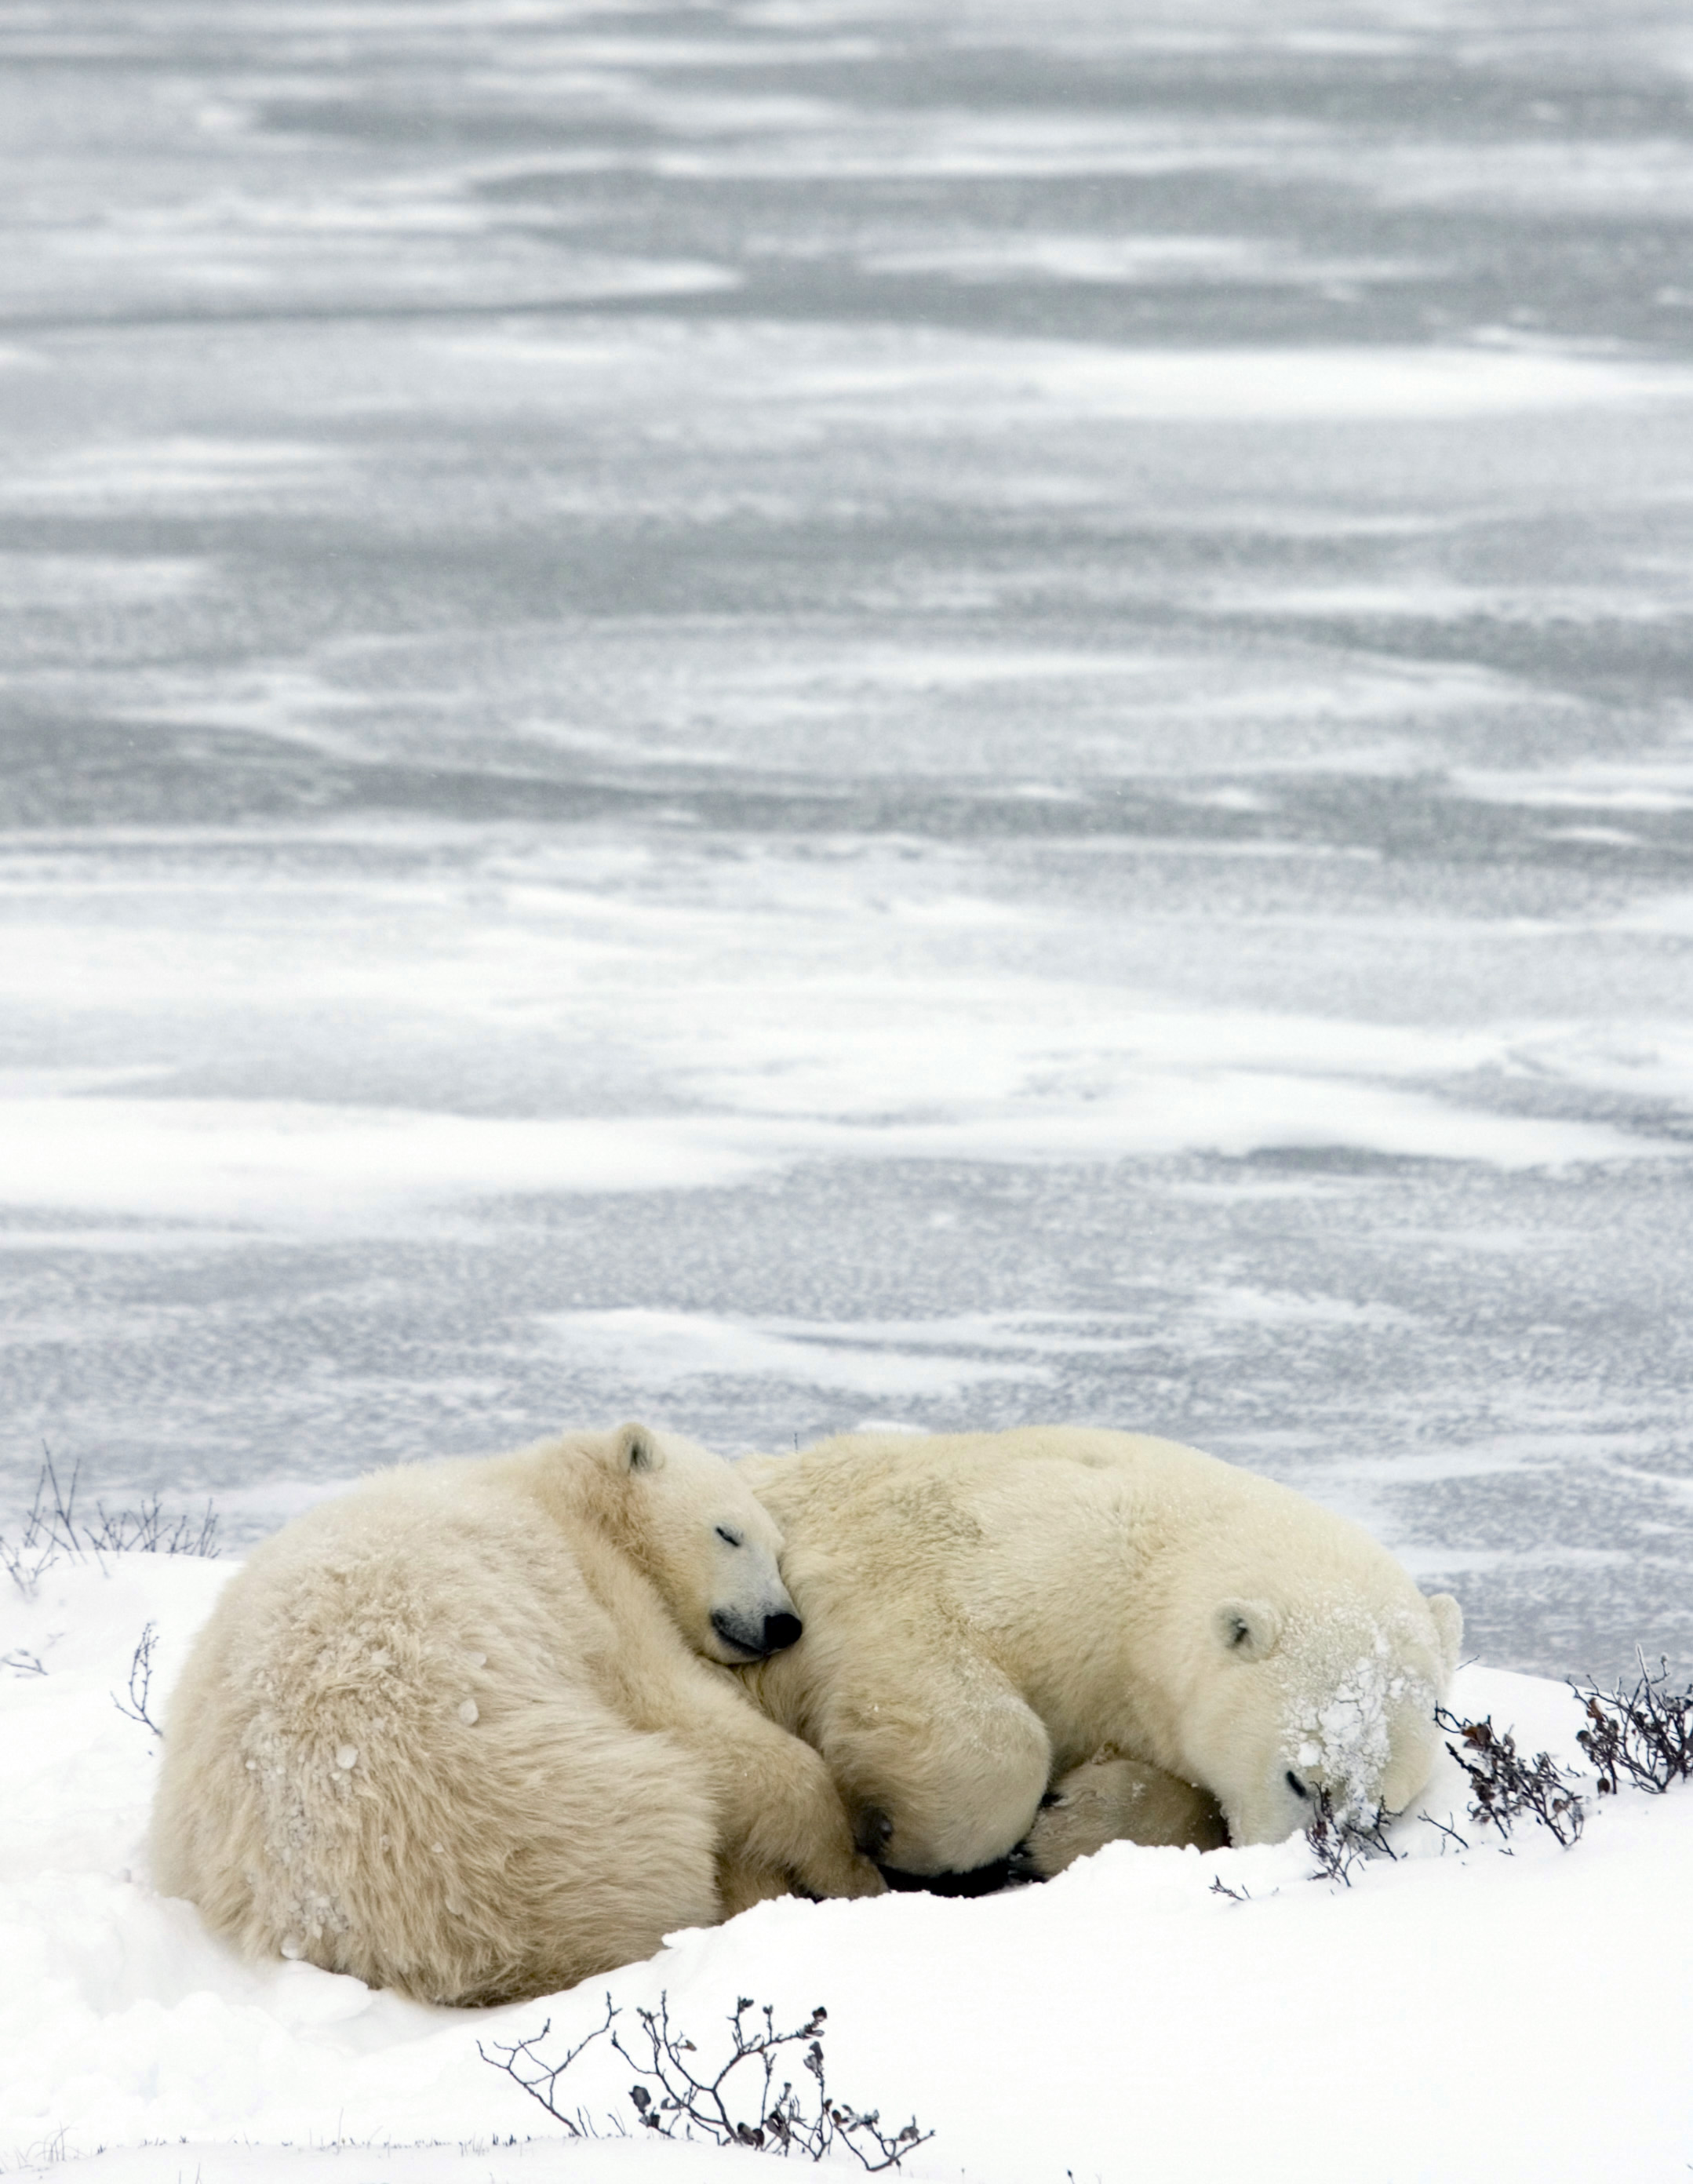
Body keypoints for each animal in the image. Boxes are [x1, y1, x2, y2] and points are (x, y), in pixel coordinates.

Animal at [154, 1424, 887, 2000]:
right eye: (728, 1533)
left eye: (778, 1548)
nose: (784, 1623)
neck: (559, 1491)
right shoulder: (594, 1587)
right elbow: (685, 1714)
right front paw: (852, 1865)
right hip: (560, 1816)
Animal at [734, 1432, 1459, 1878]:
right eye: (1300, 1781)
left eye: (1380, 1811)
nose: (1309, 1865)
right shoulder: (987, 1563)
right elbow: (957, 1709)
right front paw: (907, 1837)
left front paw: (1063, 1824)